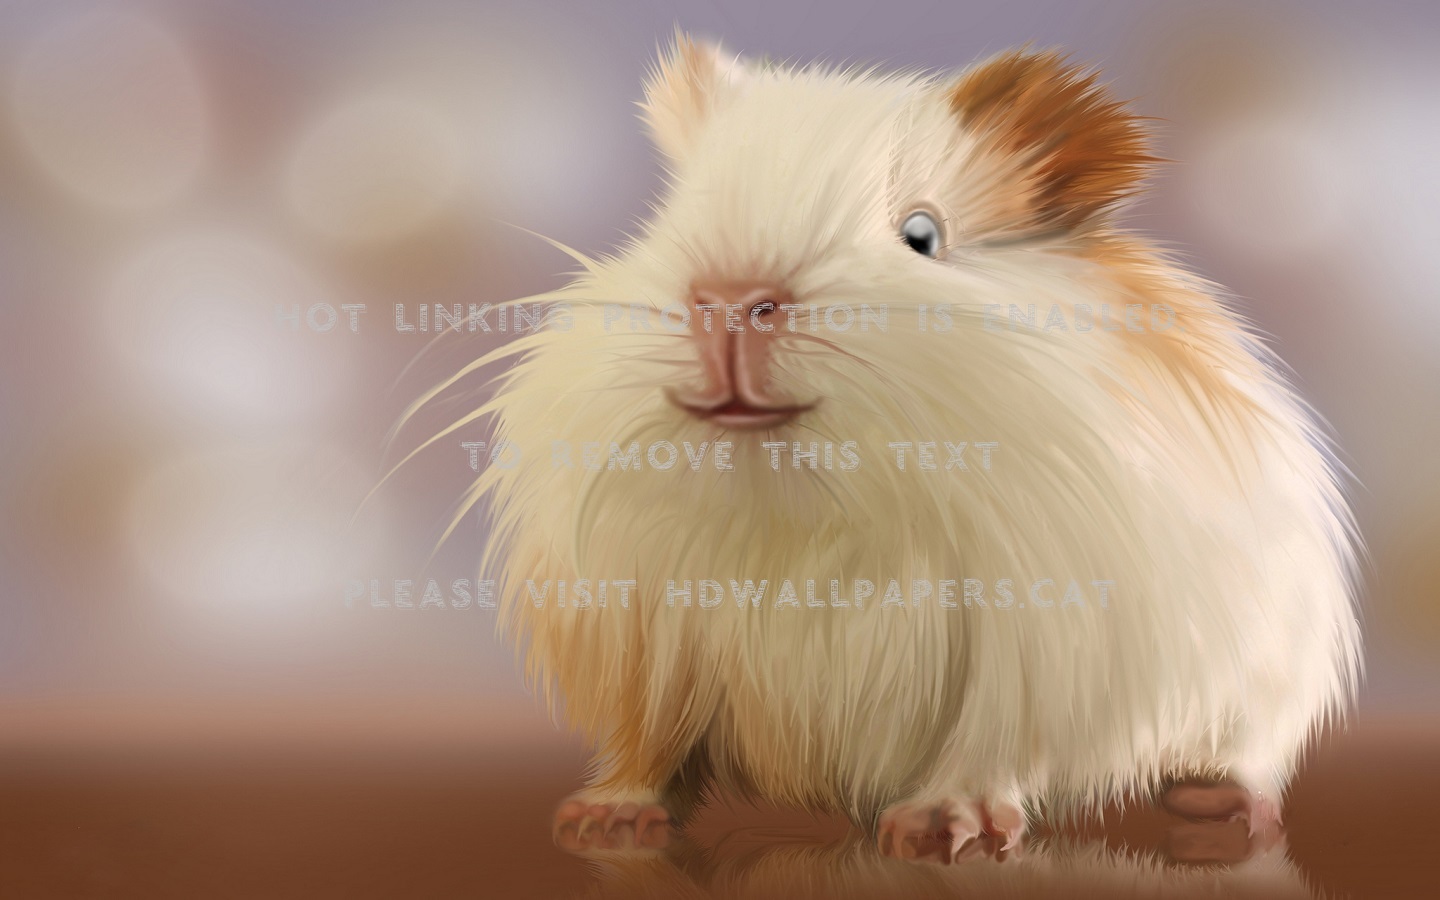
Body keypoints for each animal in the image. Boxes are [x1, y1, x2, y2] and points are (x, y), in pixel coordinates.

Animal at [435, 32, 1362, 857]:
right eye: (666, 221)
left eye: (922, 234)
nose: (730, 301)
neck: (805, 505)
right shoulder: (644, 642)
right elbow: (647, 749)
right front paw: (603, 820)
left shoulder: (1033, 657)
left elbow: (985, 750)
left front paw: (943, 831)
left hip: (1266, 688)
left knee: (1241, 758)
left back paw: (1216, 804)